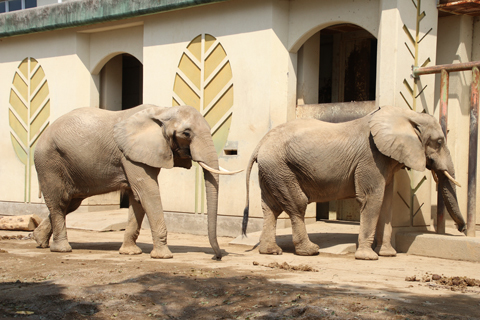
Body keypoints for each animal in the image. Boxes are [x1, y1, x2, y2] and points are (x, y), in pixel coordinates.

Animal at [31, 104, 238, 260]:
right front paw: (163, 256)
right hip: (48, 162)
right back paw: (62, 249)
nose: (217, 256)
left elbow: (137, 198)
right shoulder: (131, 155)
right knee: (60, 202)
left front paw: (130, 252)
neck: (162, 111)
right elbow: (147, 191)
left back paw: (38, 241)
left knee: (70, 203)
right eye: (186, 133)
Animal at [244, 105, 464, 260]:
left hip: (271, 170)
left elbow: (386, 203)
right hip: (279, 167)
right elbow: (372, 199)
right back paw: (310, 251)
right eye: (439, 142)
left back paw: (271, 251)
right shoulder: (371, 158)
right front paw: (368, 257)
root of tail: (260, 144)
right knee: (297, 204)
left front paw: (388, 254)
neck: (406, 115)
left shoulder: (385, 162)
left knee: (271, 208)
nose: (461, 230)